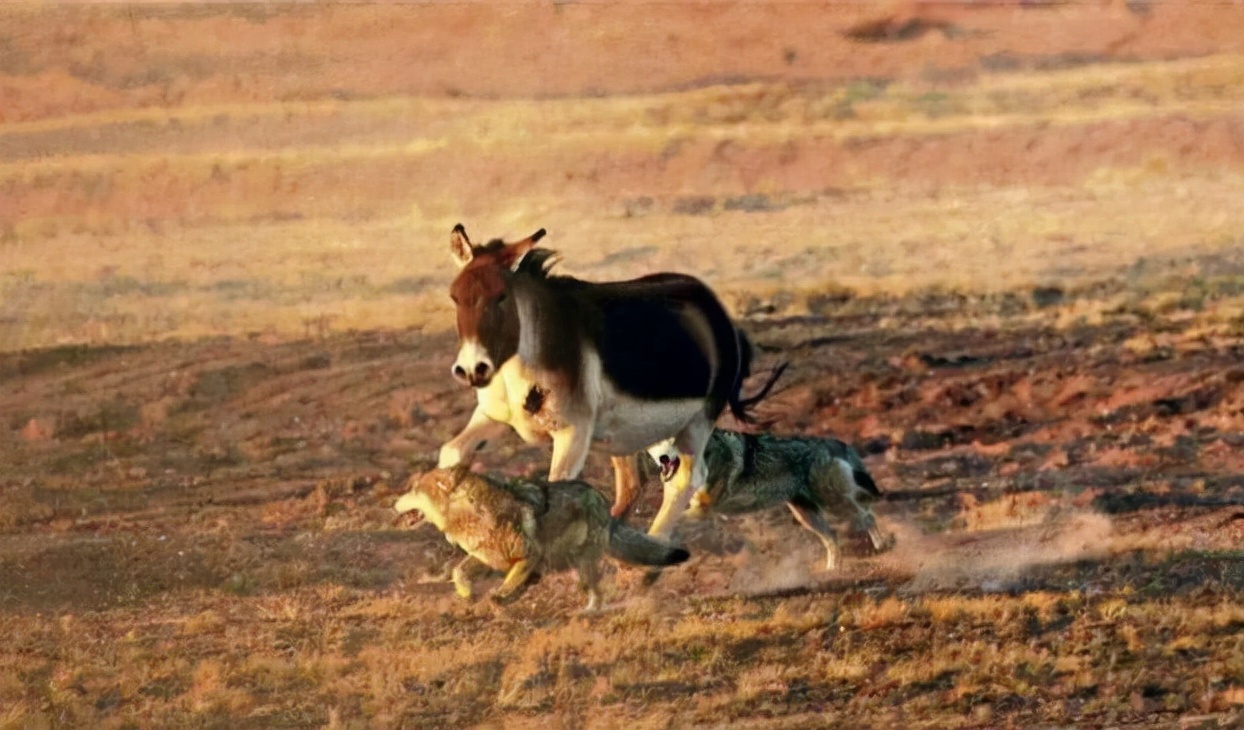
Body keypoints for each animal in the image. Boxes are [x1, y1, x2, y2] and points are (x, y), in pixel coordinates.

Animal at [394, 465, 689, 611]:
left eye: (412, 490)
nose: (393, 503)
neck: (471, 516)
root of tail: (603, 502)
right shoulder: (486, 557)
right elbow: (459, 572)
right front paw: (468, 595)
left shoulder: (529, 555)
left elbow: (504, 587)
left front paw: (501, 598)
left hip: (582, 560)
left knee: (597, 590)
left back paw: (589, 611)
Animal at [646, 429, 889, 571]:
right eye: (656, 443)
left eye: (673, 441)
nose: (664, 458)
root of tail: (832, 441)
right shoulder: (681, 506)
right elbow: (658, 525)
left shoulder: (702, 510)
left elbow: (660, 528)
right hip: (807, 517)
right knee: (833, 537)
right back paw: (831, 572)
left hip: (833, 504)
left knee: (867, 514)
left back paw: (884, 547)